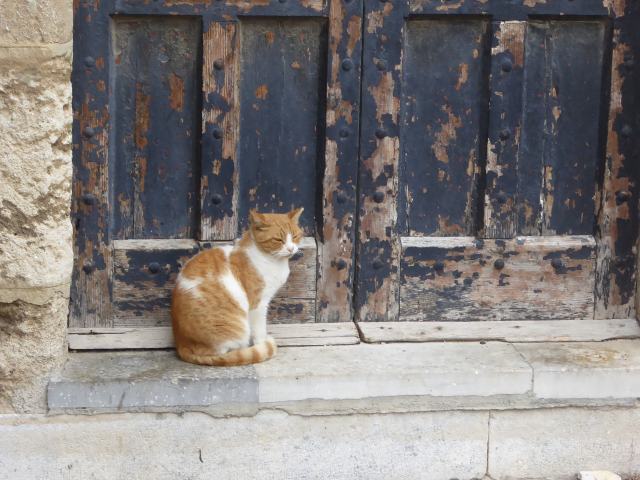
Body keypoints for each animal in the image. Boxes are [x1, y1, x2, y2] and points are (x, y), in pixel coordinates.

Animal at [171, 207, 304, 368]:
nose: (291, 249)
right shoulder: (258, 304)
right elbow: (259, 330)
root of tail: (181, 344)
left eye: (295, 236)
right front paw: (261, 344)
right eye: (278, 240)